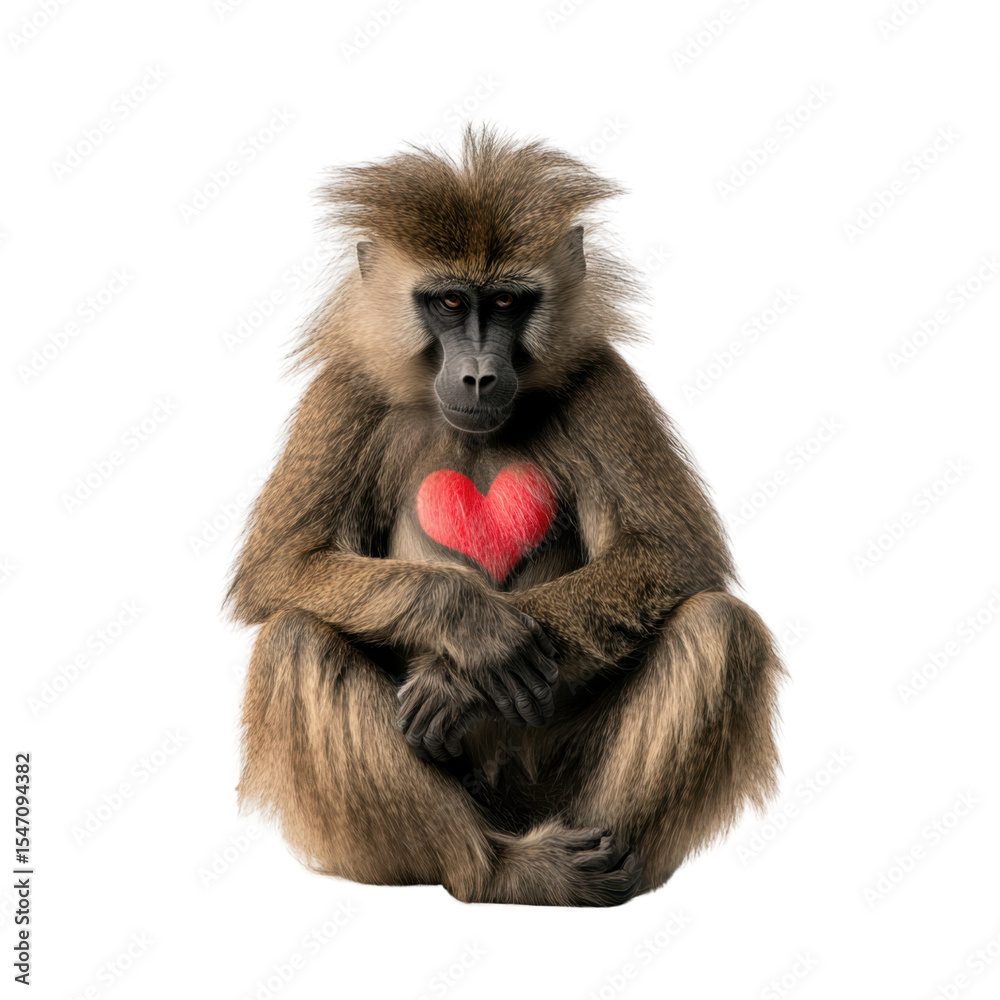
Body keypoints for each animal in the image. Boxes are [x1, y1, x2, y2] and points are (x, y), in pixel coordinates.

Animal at [228, 126, 784, 907]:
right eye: (449, 303)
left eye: (508, 302)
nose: (479, 376)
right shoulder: (343, 393)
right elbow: (282, 568)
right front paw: (473, 631)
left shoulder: (603, 384)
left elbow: (674, 554)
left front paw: (458, 683)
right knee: (295, 640)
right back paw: (500, 871)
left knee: (719, 627)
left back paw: (599, 871)